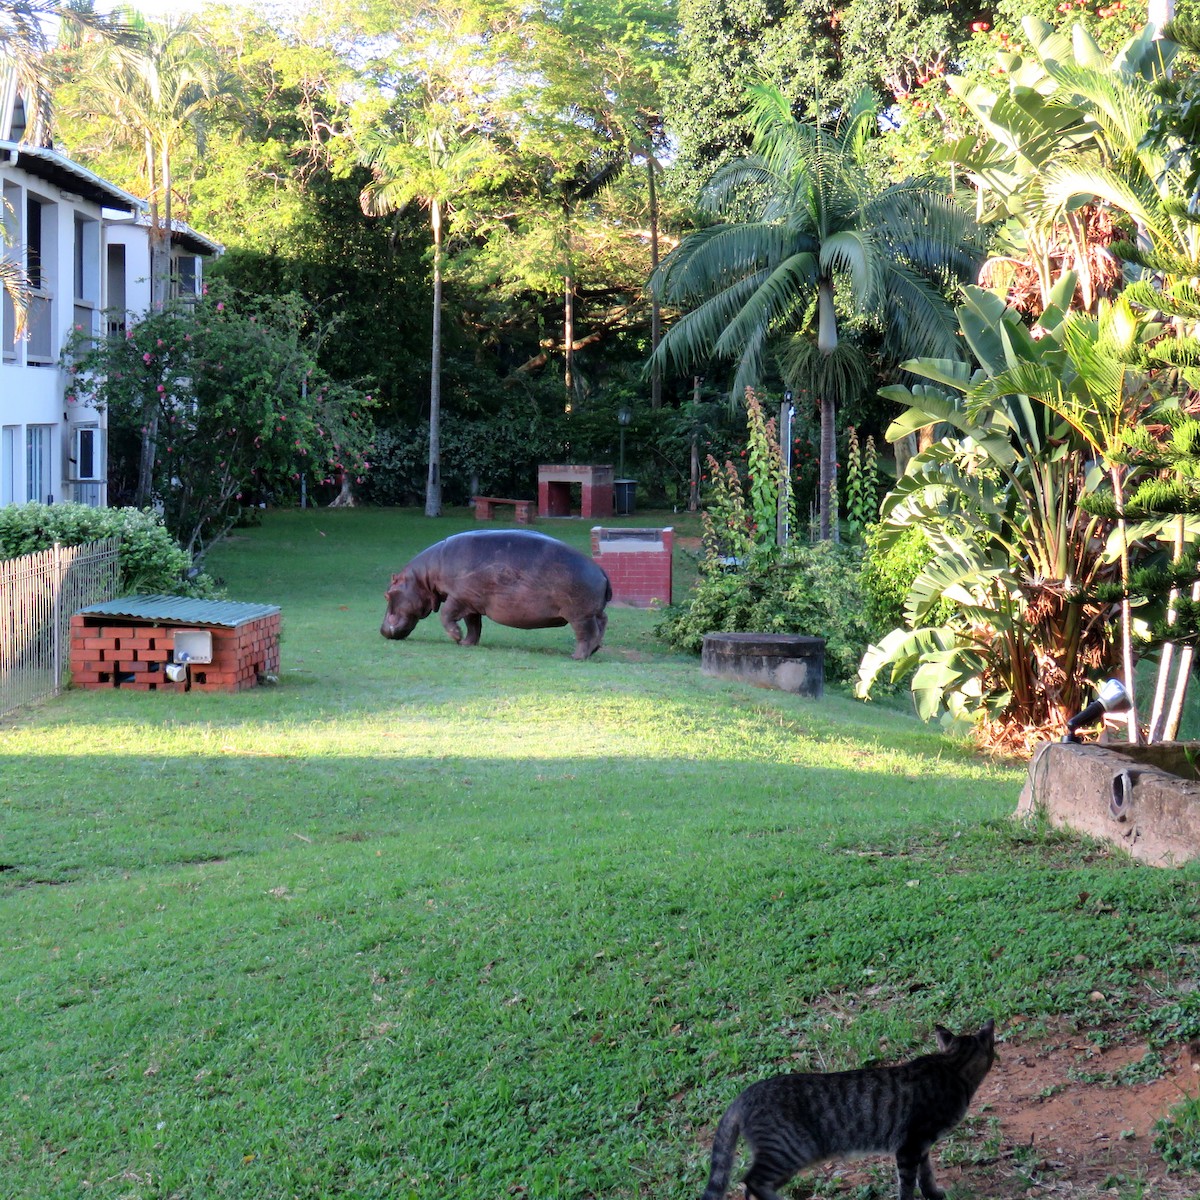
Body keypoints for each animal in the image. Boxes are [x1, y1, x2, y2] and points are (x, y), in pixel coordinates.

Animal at [381, 529, 612, 659]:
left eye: (387, 594)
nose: (381, 631)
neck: (424, 576)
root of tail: (601, 571)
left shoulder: (458, 597)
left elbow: (446, 615)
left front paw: (456, 637)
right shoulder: (471, 602)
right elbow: (474, 625)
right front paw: (466, 643)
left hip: (579, 615)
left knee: (586, 634)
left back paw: (577, 657)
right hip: (593, 612)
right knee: (601, 625)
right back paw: (593, 651)